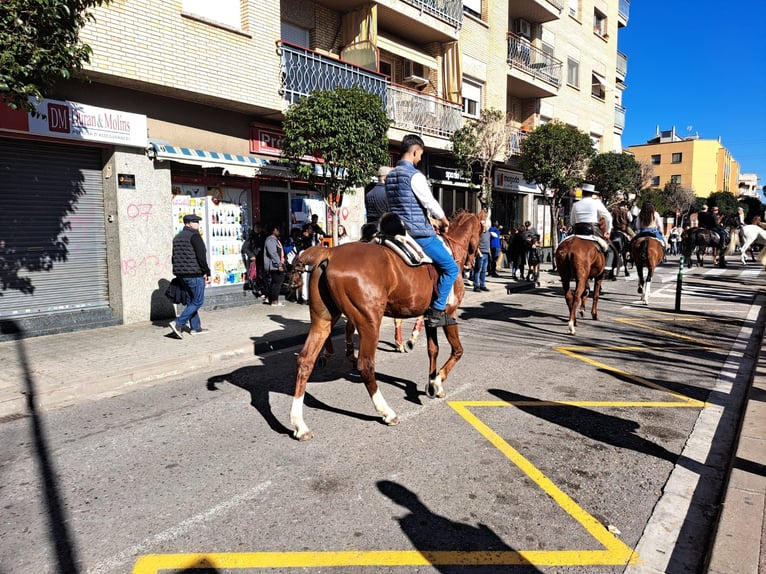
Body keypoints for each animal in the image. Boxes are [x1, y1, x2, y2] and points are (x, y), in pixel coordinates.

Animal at [292, 212, 484, 440]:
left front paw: (432, 383)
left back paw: (299, 424)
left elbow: (433, 350)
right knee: (365, 365)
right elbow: (457, 350)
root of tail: (329, 252)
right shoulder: (450, 313)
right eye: (482, 230)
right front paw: (437, 381)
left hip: (323, 319)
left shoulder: (431, 316)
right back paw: (386, 412)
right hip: (369, 321)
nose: (475, 260)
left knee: (306, 361)